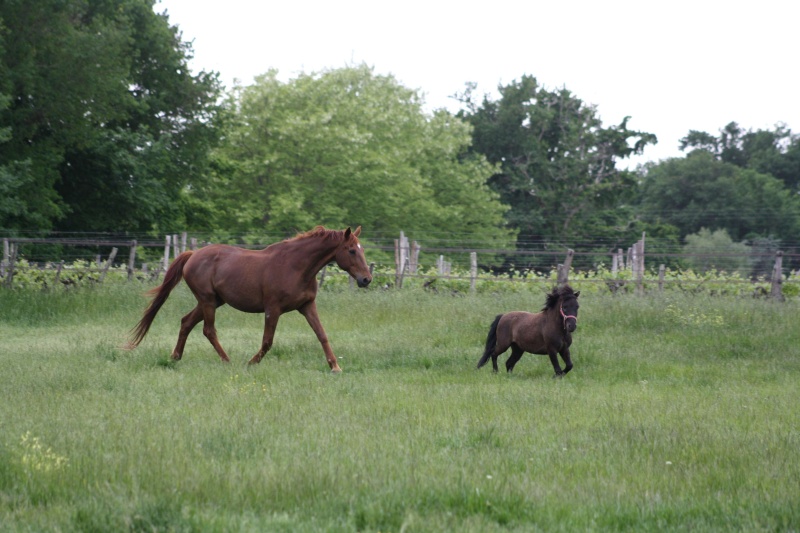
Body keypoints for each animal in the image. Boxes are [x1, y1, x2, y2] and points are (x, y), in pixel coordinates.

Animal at [127, 227, 372, 372]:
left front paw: (335, 366)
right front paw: (251, 362)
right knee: (208, 330)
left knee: (186, 322)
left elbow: (322, 335)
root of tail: (192, 254)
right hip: (208, 301)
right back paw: (227, 361)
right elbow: (267, 341)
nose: (366, 279)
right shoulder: (272, 308)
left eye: (361, 249)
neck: (296, 266)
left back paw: (175, 357)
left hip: (213, 301)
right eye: (351, 250)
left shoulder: (307, 306)